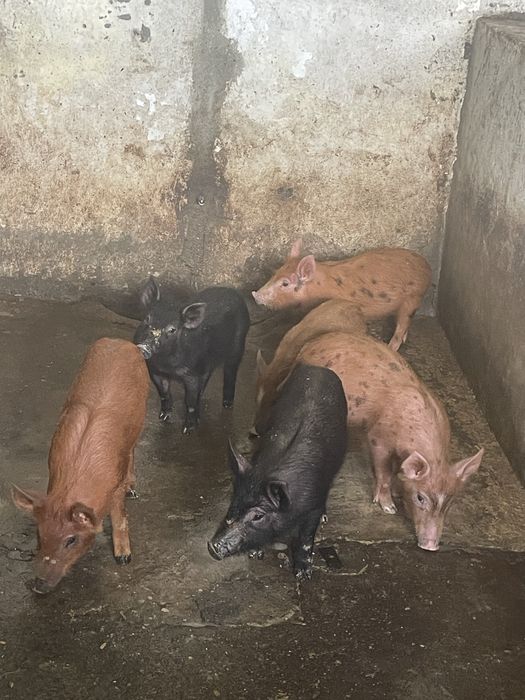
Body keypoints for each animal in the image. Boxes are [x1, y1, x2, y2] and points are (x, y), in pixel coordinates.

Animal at [11, 338, 150, 594]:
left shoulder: (116, 482)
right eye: (39, 534)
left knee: (133, 451)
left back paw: (133, 490)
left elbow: (120, 516)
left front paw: (124, 558)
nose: (38, 585)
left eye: (71, 540)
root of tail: (120, 341)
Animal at [134, 278, 250, 433]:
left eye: (172, 330)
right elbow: (163, 393)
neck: (167, 366)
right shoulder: (155, 370)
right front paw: (163, 417)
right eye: (147, 319)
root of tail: (233, 292)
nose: (145, 345)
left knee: (231, 371)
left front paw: (188, 430)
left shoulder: (192, 374)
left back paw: (227, 404)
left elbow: (190, 401)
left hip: (238, 343)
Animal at [208, 363, 348, 581]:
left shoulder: (313, 505)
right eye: (234, 501)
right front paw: (255, 554)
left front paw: (303, 574)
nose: (212, 547)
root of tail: (319, 368)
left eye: (258, 516)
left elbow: (306, 538)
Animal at [252, 239, 432, 351]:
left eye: (285, 283)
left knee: (402, 326)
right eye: (275, 272)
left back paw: (390, 347)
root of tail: (426, 265)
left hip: (412, 299)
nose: (255, 294)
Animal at [293, 331, 484, 551]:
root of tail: (311, 344)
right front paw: (388, 507)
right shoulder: (378, 438)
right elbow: (384, 472)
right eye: (420, 497)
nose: (431, 547)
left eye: (450, 502)